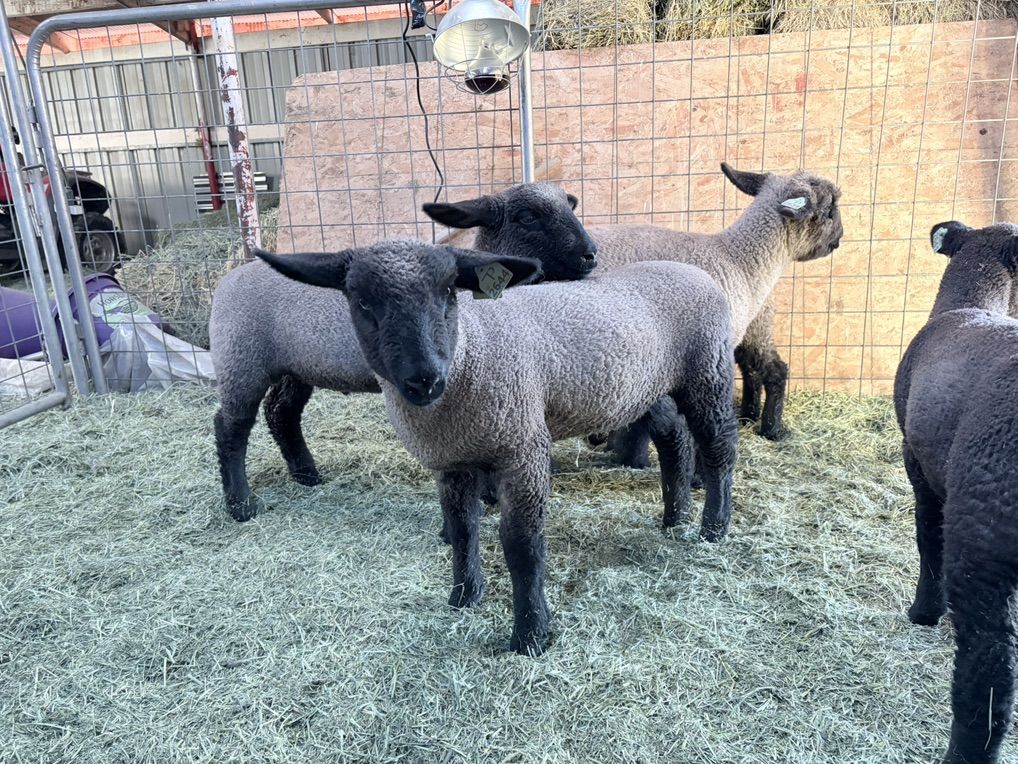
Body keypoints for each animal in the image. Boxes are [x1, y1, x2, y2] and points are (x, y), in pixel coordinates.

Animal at [210, 183, 597, 521]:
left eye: (570, 206)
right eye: (527, 217)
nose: (590, 254)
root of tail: (226, 282)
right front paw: (489, 495)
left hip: (294, 367)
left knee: (282, 413)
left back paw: (306, 475)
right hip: (241, 362)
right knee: (231, 427)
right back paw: (240, 505)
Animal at [254, 239, 738, 656]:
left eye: (450, 292)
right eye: (362, 301)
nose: (424, 380)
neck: (471, 350)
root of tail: (690, 270)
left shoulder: (523, 449)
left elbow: (521, 546)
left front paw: (531, 635)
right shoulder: (452, 462)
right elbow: (463, 529)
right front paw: (464, 597)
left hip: (707, 370)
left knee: (718, 447)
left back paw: (713, 527)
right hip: (648, 387)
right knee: (674, 439)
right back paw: (674, 517)